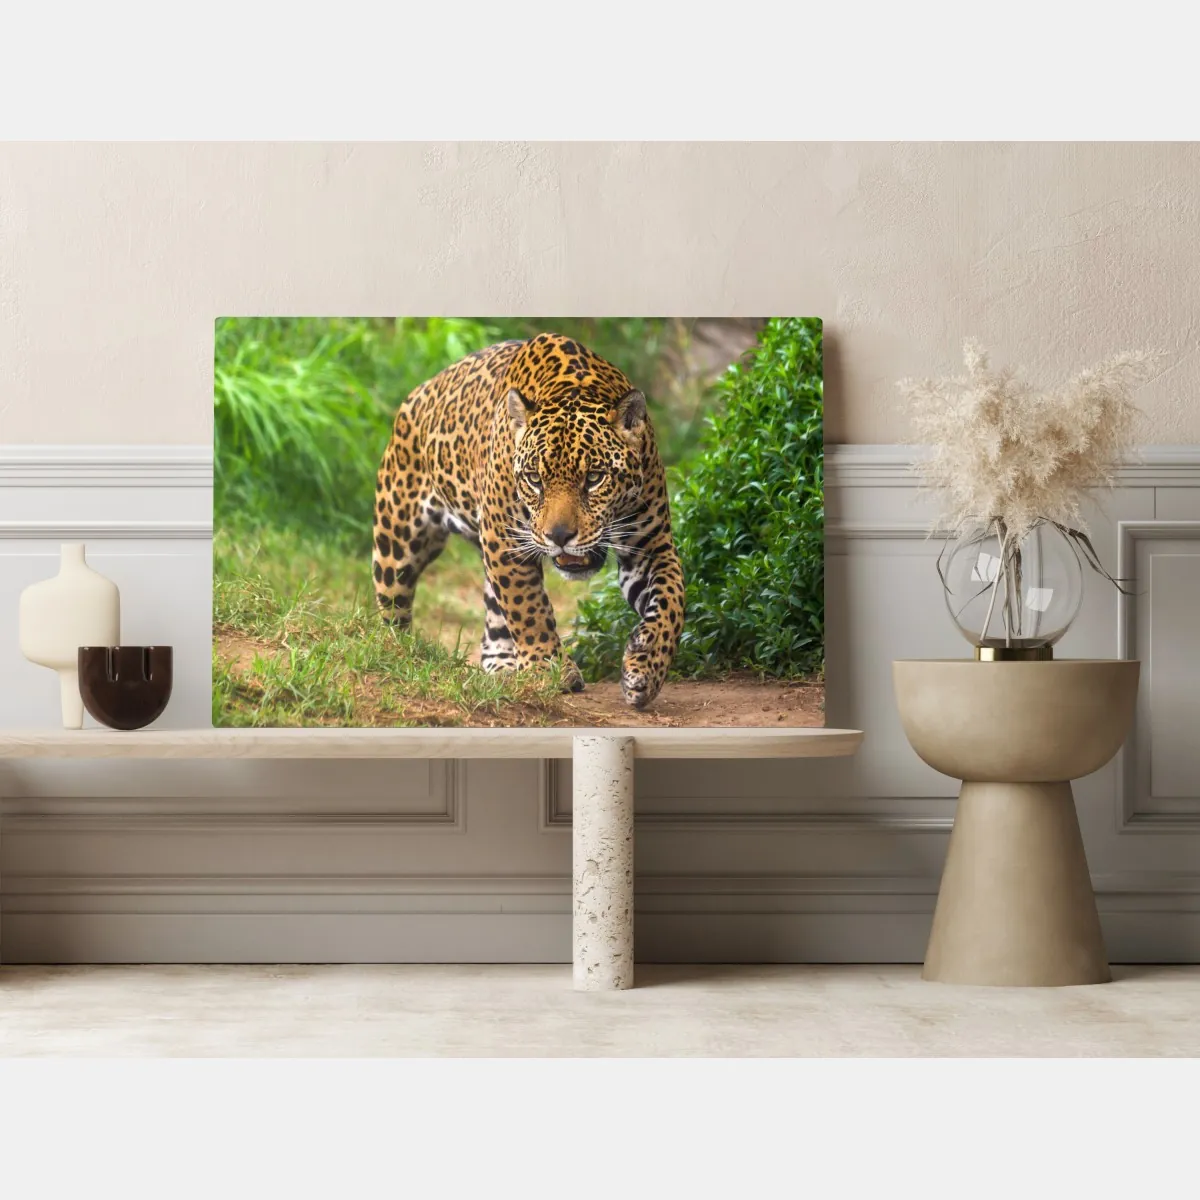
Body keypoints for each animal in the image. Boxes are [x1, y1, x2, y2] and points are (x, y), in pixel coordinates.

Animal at [372, 331, 685, 709]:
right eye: (535, 479)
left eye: (594, 478)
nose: (560, 536)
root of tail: (419, 392)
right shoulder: (505, 539)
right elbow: (528, 607)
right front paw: (549, 668)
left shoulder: (651, 546)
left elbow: (672, 601)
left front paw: (646, 665)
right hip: (397, 542)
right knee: (393, 608)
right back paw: (397, 655)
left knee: (495, 614)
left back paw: (503, 667)